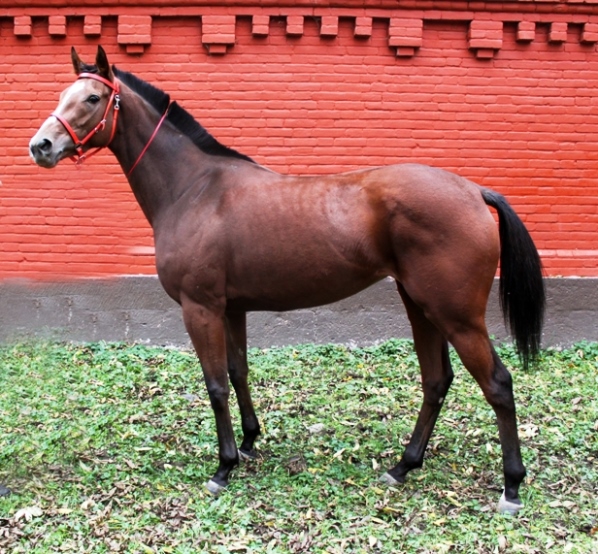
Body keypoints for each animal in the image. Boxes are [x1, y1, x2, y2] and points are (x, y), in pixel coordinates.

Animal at [29, 46, 545, 514]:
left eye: (93, 97)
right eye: (62, 94)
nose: (41, 146)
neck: (195, 189)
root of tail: (473, 191)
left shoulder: (200, 308)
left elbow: (215, 384)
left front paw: (223, 467)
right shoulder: (231, 308)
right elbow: (238, 372)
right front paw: (249, 443)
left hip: (456, 316)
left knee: (497, 384)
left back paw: (511, 487)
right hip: (420, 305)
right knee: (436, 381)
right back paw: (403, 466)